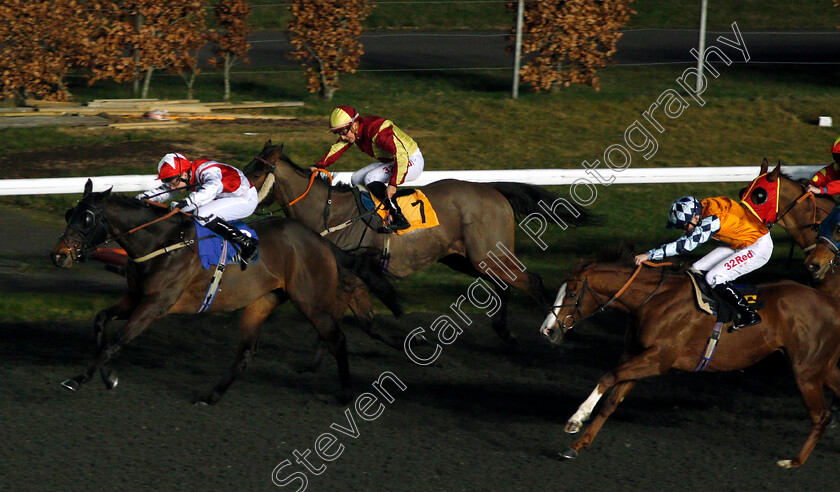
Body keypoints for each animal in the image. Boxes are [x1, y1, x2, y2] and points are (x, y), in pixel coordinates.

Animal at [49, 181, 404, 404]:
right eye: (69, 214)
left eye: (87, 218)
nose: (59, 255)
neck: (160, 242)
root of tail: (320, 240)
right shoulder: (137, 298)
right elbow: (100, 321)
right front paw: (107, 376)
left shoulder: (156, 305)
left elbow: (115, 342)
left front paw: (79, 379)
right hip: (261, 302)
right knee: (247, 352)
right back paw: (211, 396)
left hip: (312, 302)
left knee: (337, 339)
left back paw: (345, 394)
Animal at [243, 140, 596, 344]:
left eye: (256, 173)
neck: (330, 212)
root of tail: (492, 188)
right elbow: (363, 321)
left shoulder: (360, 269)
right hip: (465, 258)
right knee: (503, 284)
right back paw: (504, 328)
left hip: (486, 254)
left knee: (530, 280)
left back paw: (551, 329)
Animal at [540, 250, 840, 468]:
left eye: (572, 293)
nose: (547, 330)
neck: (653, 301)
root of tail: (831, 303)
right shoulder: (638, 354)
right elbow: (611, 402)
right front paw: (577, 446)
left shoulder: (658, 358)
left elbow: (609, 375)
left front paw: (575, 419)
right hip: (822, 369)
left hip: (806, 371)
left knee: (821, 415)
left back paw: (794, 461)